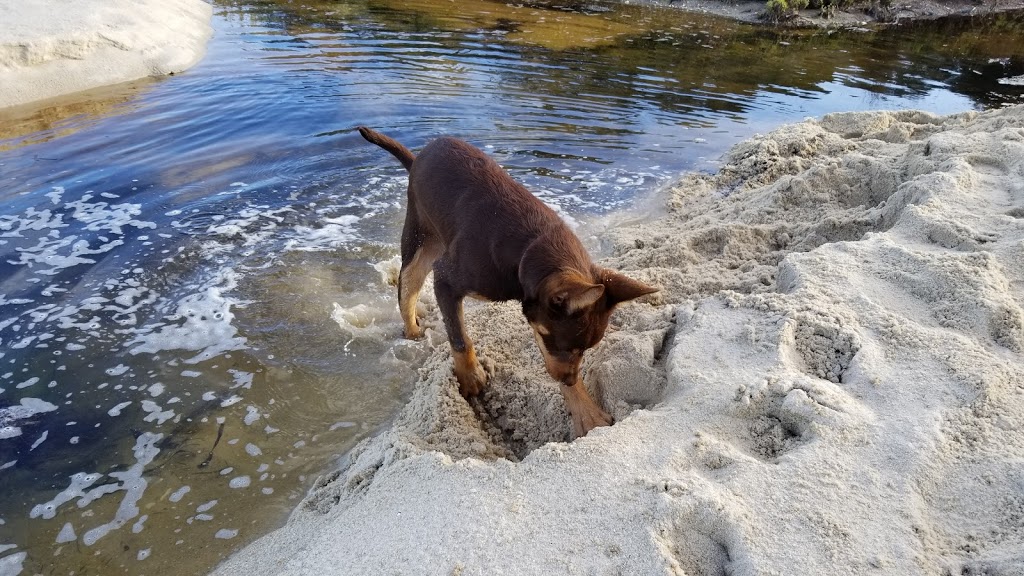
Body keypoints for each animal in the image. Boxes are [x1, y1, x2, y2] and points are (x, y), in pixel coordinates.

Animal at [356, 124, 655, 430]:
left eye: (586, 349)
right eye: (567, 347)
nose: (570, 380)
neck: (529, 248)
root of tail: (419, 157)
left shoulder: (535, 310)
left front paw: (585, 410)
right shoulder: (446, 280)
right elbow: (459, 337)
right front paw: (471, 377)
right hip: (419, 239)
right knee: (407, 291)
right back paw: (413, 331)